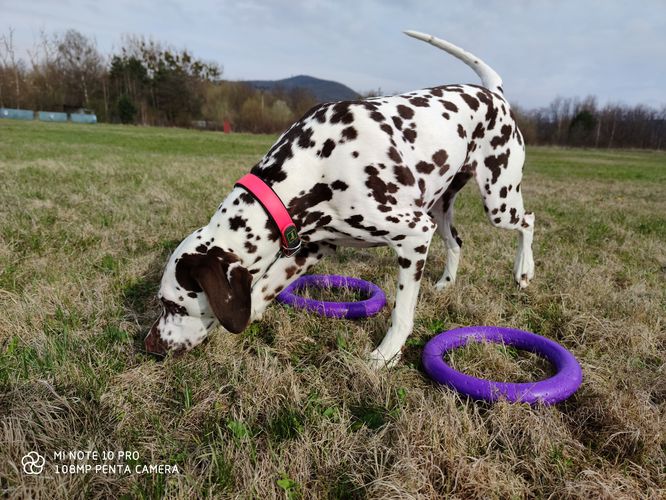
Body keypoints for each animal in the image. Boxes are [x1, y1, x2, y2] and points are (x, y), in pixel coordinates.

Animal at [145, 32, 536, 368]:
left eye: (173, 305)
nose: (149, 344)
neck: (316, 161)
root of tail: (494, 93)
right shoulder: (307, 248)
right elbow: (259, 295)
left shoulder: (413, 235)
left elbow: (401, 313)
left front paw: (385, 356)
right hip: (441, 209)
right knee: (456, 241)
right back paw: (446, 284)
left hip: (497, 202)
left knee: (528, 221)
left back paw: (523, 272)